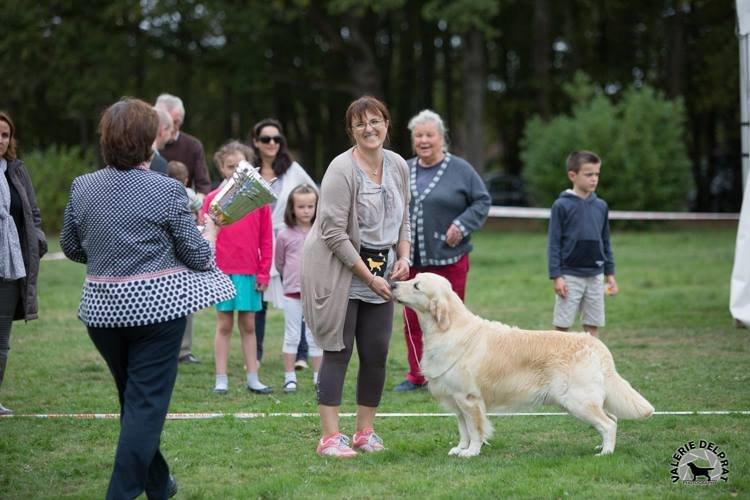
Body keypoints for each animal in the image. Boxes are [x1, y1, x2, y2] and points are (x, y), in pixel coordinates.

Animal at [390, 274, 656, 458]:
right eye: (412, 278)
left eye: (416, 285)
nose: (392, 284)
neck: (446, 329)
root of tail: (596, 344)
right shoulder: (456, 401)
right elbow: (463, 429)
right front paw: (460, 448)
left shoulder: (469, 399)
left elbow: (475, 429)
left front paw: (471, 452)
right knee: (611, 418)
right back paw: (602, 446)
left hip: (577, 400)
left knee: (609, 423)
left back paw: (606, 453)